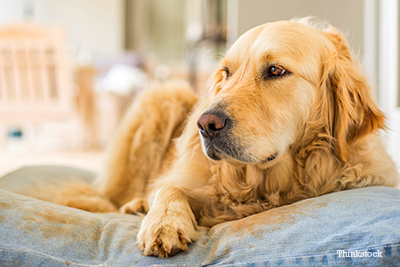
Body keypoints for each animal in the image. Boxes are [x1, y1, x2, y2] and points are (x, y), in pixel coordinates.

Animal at [54, 18, 400, 258]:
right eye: (226, 73)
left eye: (276, 70)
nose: (205, 124)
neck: (267, 182)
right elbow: (168, 188)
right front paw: (164, 222)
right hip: (166, 95)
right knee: (119, 193)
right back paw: (136, 204)